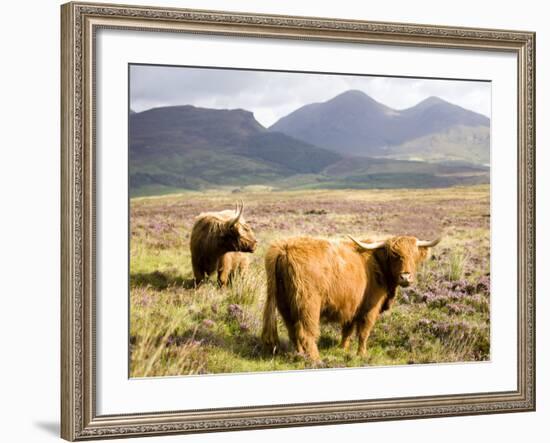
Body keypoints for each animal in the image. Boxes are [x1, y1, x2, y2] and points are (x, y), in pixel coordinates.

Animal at [260, 236, 442, 360]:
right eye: (394, 255)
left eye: (414, 255)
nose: (406, 277)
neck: (378, 265)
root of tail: (284, 248)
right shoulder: (370, 308)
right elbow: (364, 332)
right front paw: (362, 354)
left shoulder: (351, 307)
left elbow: (347, 330)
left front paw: (342, 348)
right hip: (308, 305)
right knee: (306, 333)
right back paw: (316, 359)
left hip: (285, 305)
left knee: (293, 331)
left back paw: (299, 355)